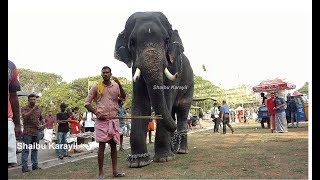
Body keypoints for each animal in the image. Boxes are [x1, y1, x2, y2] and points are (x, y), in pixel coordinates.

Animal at [115, 11, 195, 168]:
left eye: (166, 40)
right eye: (132, 42)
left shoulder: (173, 65)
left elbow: (167, 97)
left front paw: (164, 158)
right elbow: (141, 103)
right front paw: (138, 162)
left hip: (190, 85)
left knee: (182, 112)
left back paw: (181, 150)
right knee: (172, 112)